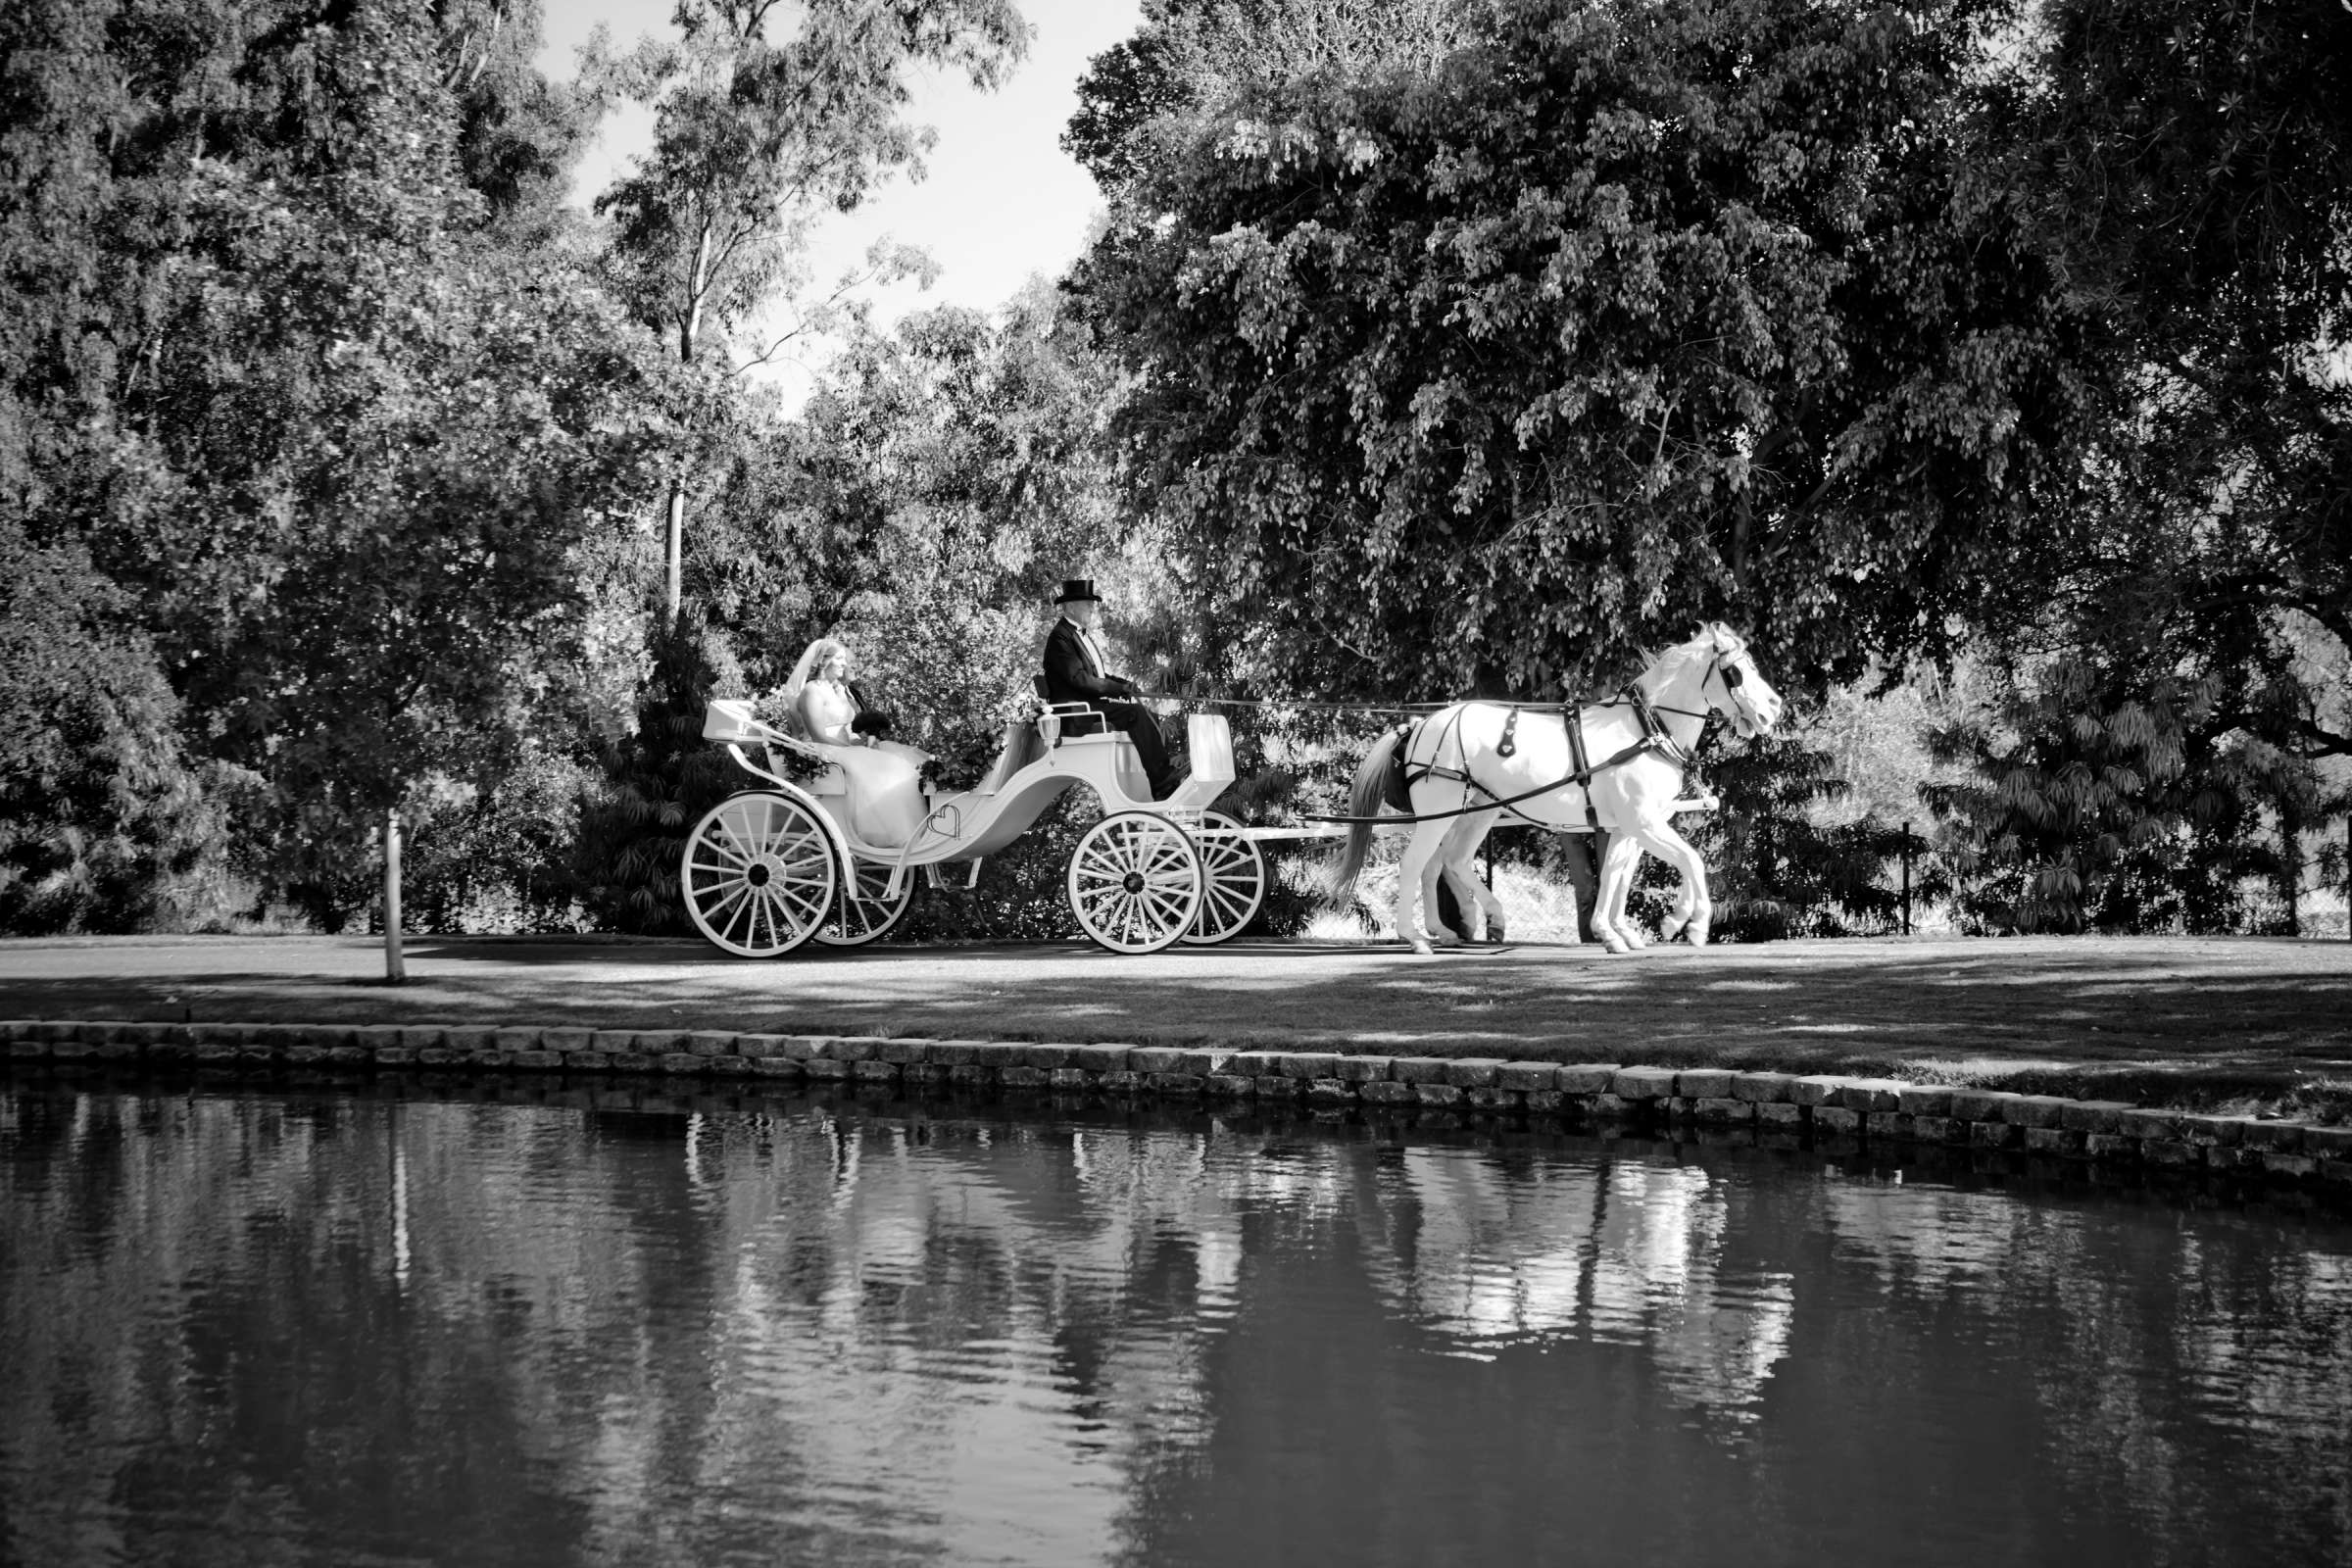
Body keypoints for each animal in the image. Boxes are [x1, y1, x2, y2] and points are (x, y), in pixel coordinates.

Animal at [1336, 625, 1768, 958]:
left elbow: (1615, 874)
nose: (1771, 710)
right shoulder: (1643, 823)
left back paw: (1473, 922)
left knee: (1447, 862)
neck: (1646, 729)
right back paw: (1416, 937)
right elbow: (1691, 860)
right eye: (1736, 672)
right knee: (1416, 864)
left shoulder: (1628, 827)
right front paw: (1688, 924)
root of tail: (1420, 725)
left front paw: (1615, 933)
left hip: (1477, 810)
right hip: (1440, 811)